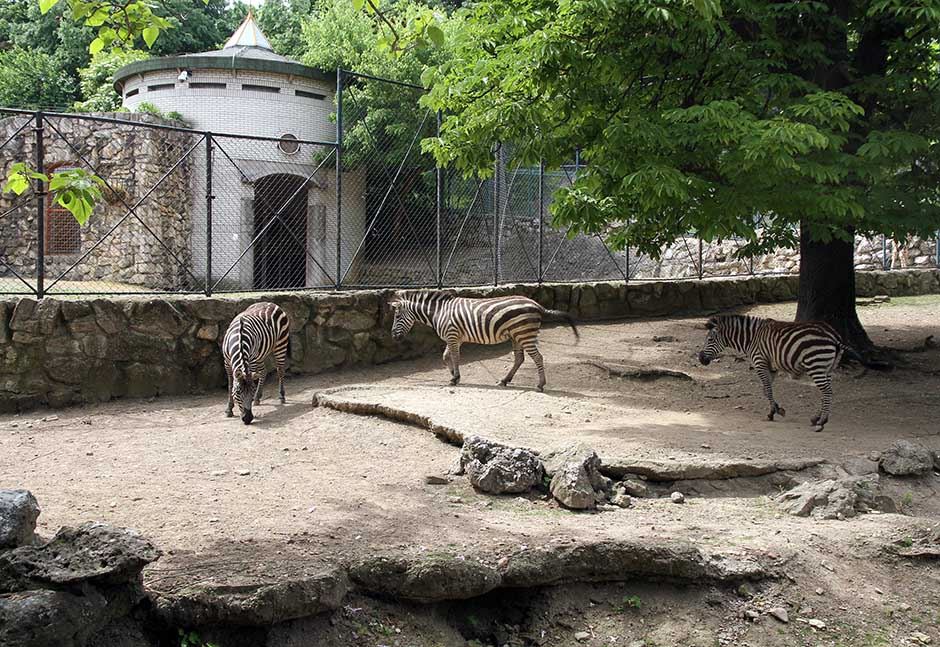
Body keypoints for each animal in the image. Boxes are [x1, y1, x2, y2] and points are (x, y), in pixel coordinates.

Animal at [388, 291, 579, 392]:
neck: (438, 312)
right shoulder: (455, 338)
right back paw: (504, 380)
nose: (393, 337)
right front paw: (453, 376)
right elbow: (445, 357)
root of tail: (537, 305)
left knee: (538, 358)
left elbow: (455, 357)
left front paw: (456, 377)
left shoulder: (452, 335)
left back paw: (540, 385)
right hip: (517, 335)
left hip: (524, 334)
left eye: (397, 316)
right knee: (520, 358)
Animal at [698, 314, 856, 432]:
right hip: (828, 368)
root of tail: (833, 335)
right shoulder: (771, 367)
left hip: (816, 365)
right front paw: (779, 409)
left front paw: (771, 413)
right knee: (826, 393)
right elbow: (765, 390)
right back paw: (816, 418)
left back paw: (821, 422)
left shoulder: (760, 362)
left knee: (827, 392)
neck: (751, 338)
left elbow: (767, 389)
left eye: (710, 339)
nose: (700, 359)